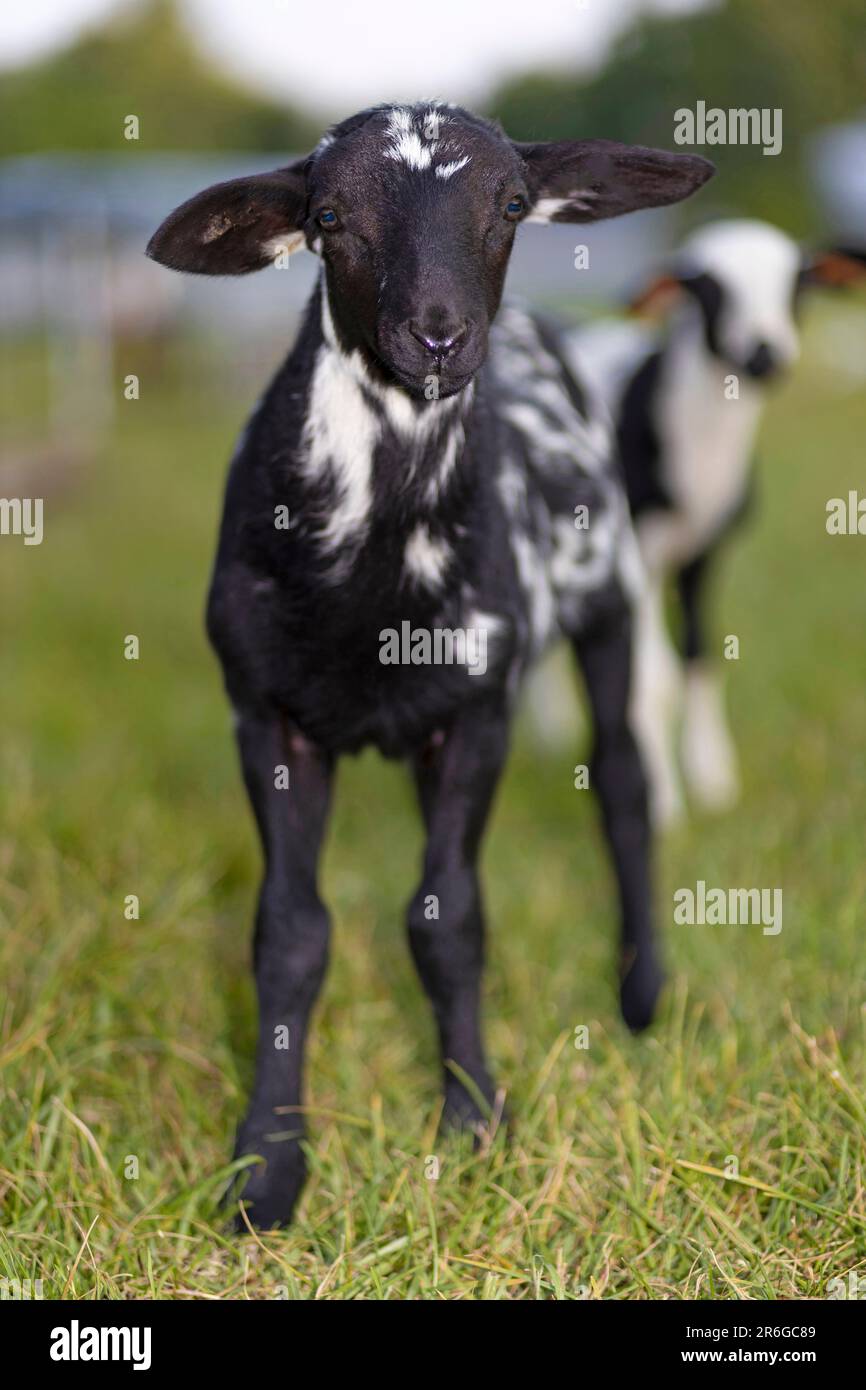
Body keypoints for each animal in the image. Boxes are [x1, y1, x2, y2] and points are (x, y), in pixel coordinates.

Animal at [148, 100, 717, 1228]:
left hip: (610, 597)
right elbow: (290, 933)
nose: (441, 333)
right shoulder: (264, 711)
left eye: (511, 203)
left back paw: (640, 992)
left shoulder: (478, 713)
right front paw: (267, 1165)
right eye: (327, 216)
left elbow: (448, 918)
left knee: (623, 784)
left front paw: (472, 1119)